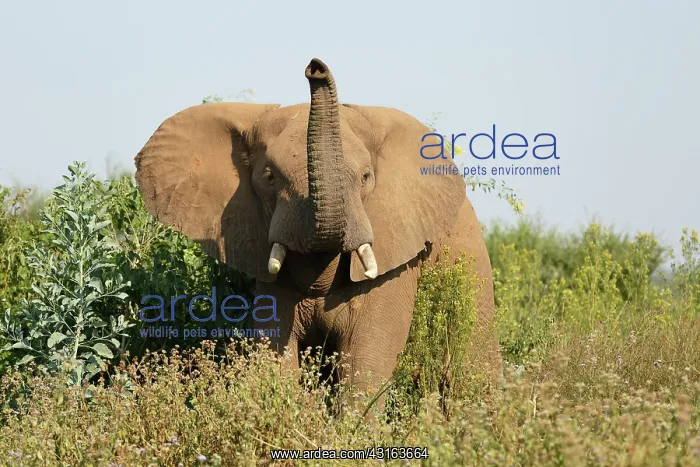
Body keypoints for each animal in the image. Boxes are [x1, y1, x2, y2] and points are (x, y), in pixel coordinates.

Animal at [134, 58, 501, 398]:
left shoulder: (396, 257)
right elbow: (276, 351)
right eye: (269, 177)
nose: (315, 67)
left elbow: (367, 360)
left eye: (366, 177)